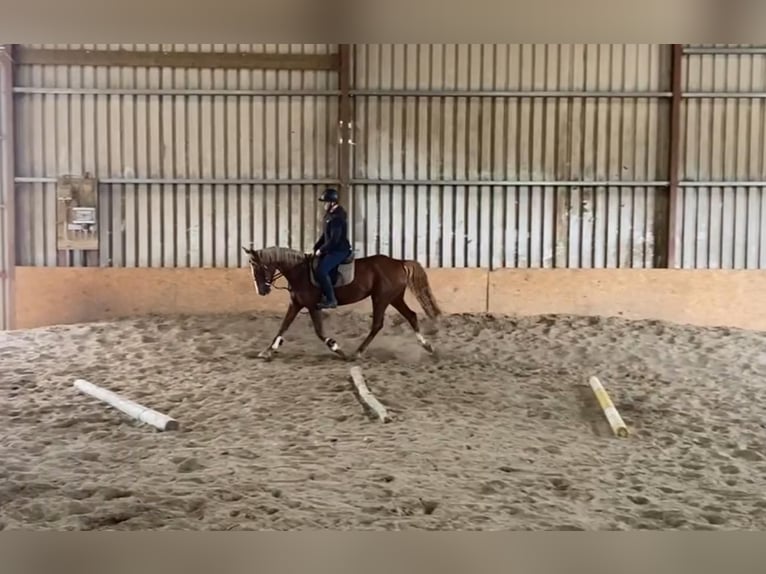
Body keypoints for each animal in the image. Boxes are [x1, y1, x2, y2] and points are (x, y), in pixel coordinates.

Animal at [240, 246, 444, 362]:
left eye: (259, 267)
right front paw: (267, 351)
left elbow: (319, 332)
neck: (299, 272)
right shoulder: (296, 304)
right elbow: (283, 327)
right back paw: (428, 347)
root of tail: (398, 262)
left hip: (381, 298)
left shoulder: (313, 306)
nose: (262, 291)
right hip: (394, 297)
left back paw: (357, 353)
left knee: (377, 324)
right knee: (411, 316)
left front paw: (337, 348)